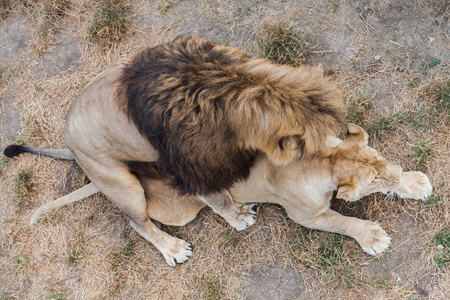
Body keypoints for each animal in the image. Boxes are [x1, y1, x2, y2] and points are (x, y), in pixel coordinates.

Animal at [4, 37, 344, 264]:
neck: (227, 89)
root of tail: (70, 146)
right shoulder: (190, 170)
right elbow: (219, 200)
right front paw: (238, 217)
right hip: (120, 182)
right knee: (137, 222)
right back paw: (173, 248)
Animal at [4, 125, 432, 268]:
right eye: (371, 183)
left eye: (379, 159)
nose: (396, 172)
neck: (321, 161)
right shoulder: (306, 216)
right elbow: (344, 221)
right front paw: (372, 237)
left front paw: (413, 182)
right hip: (172, 208)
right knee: (135, 220)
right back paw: (174, 248)